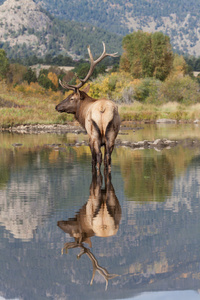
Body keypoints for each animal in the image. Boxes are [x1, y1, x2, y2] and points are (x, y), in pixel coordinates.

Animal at [55, 43, 120, 172]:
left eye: (71, 98)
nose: (57, 106)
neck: (83, 113)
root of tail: (102, 109)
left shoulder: (89, 138)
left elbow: (93, 159)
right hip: (112, 135)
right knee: (108, 157)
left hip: (94, 134)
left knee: (98, 156)